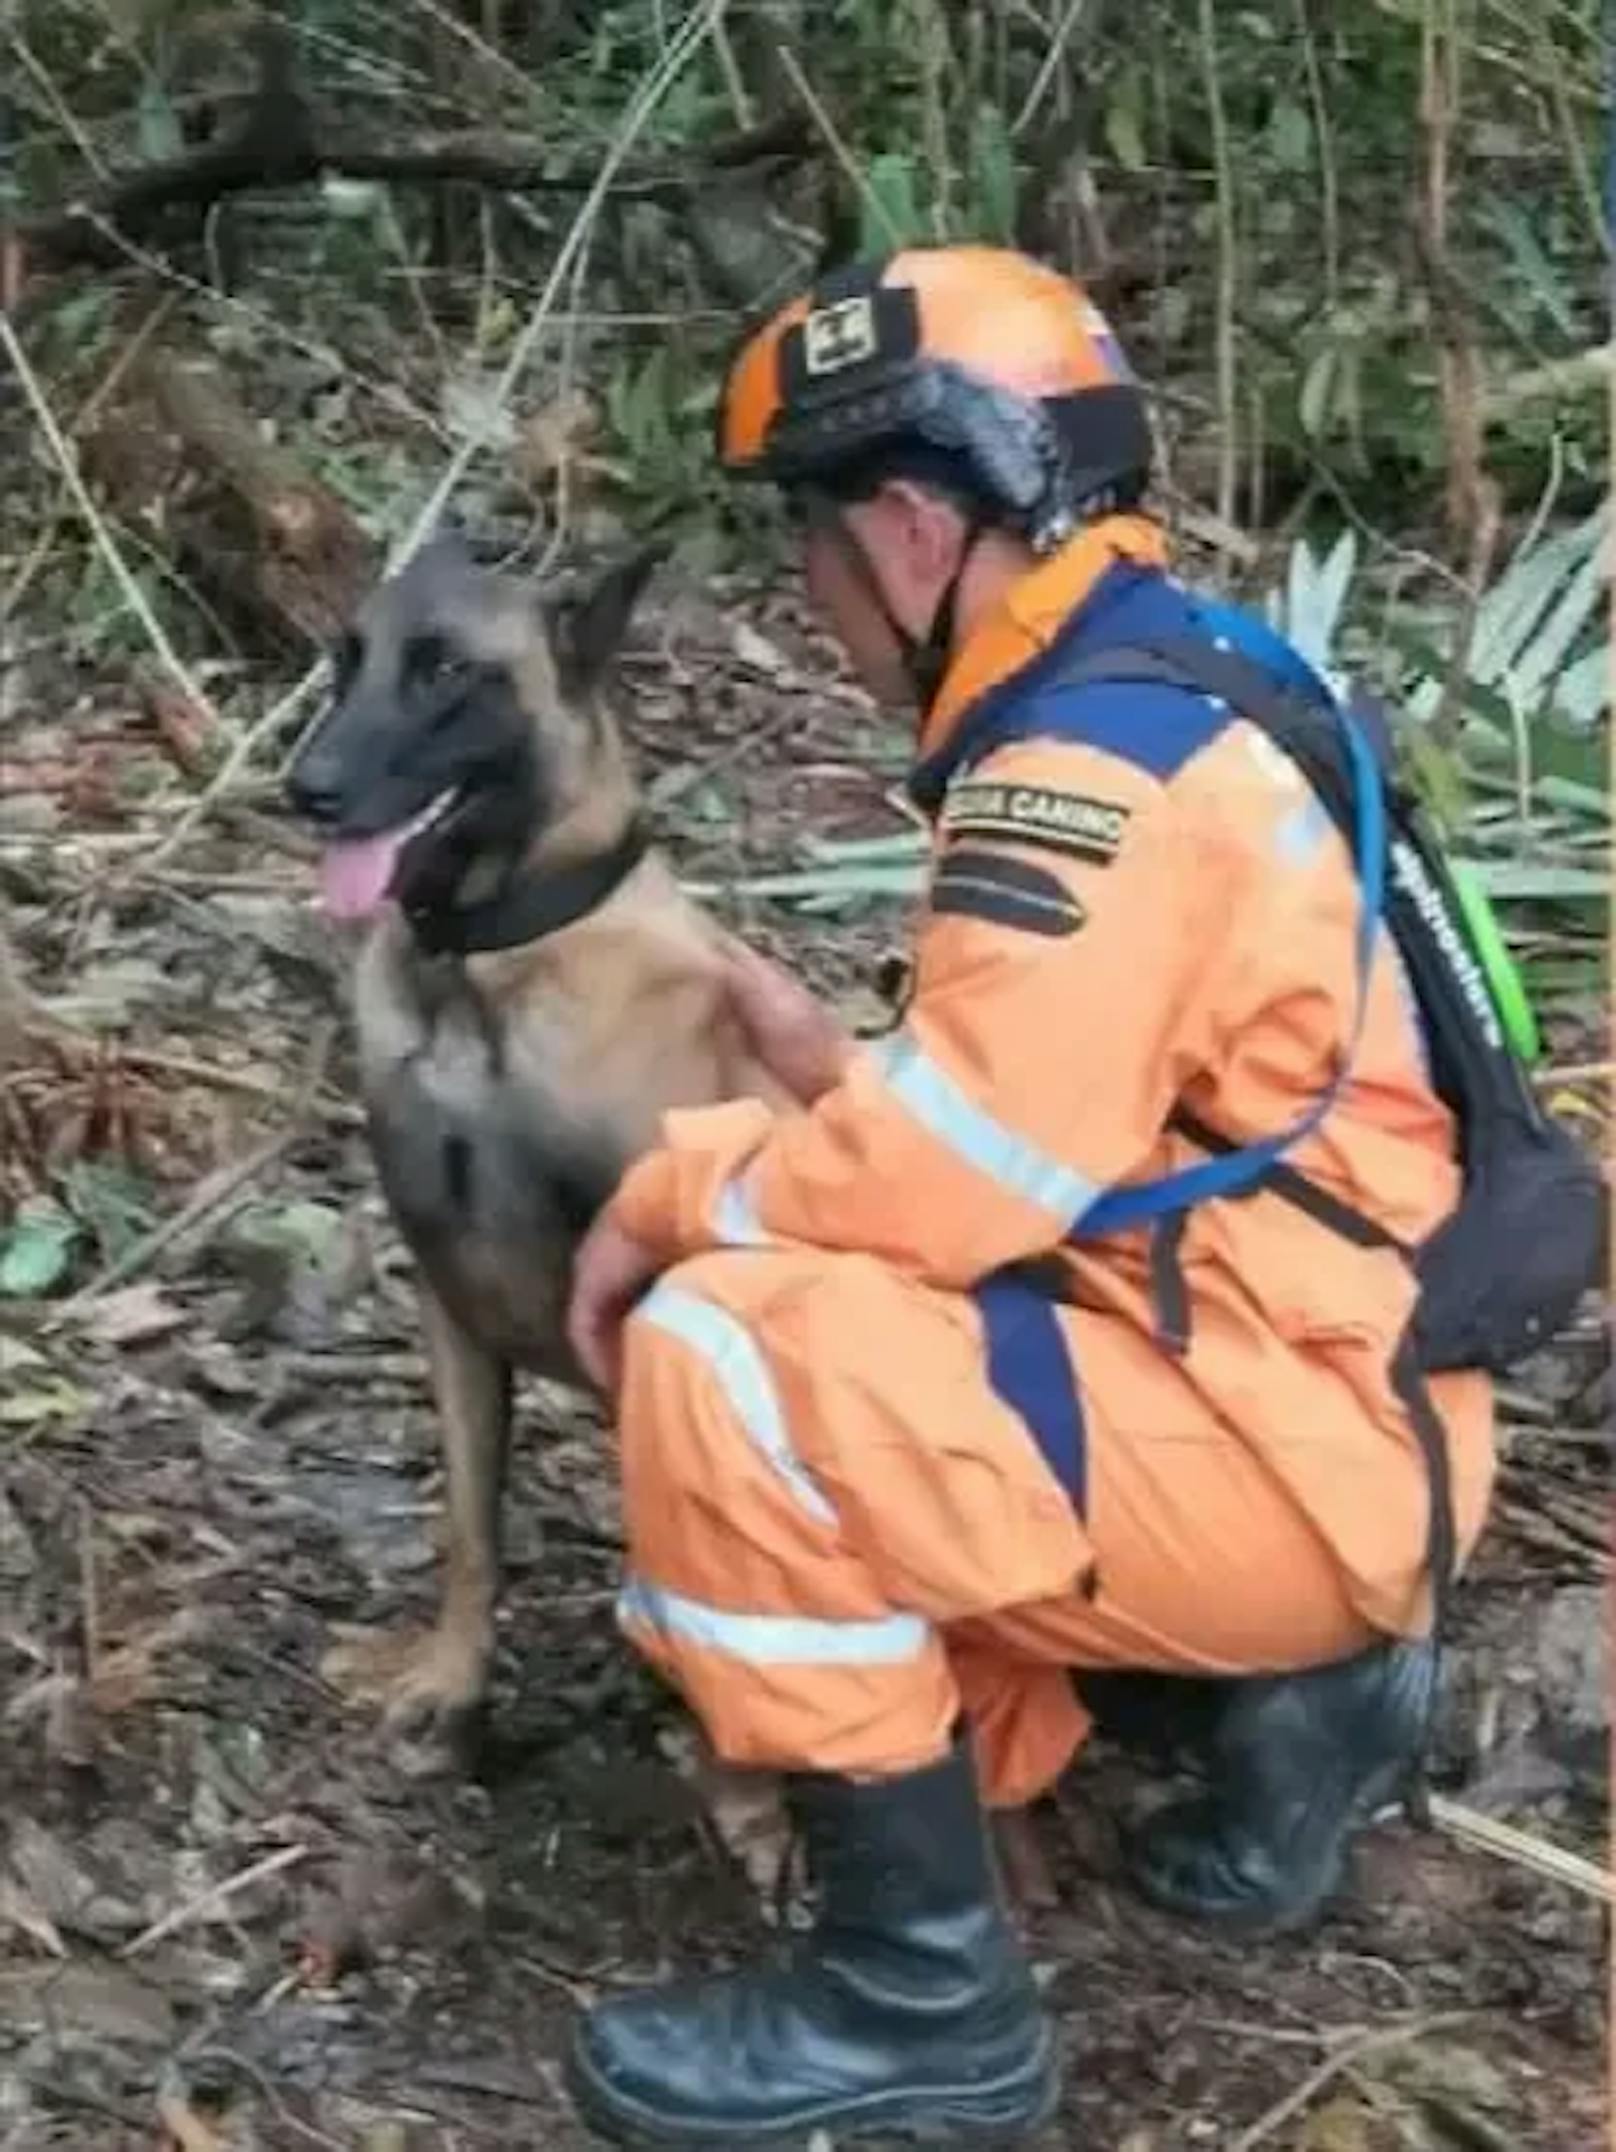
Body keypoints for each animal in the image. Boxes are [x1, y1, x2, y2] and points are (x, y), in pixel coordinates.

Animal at [288, 538, 804, 1902]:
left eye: (448, 673)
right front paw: (450, 1684)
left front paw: (742, 1791)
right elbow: (471, 1529)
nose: (305, 789)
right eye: (345, 658)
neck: (480, 967)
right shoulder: (449, 1303)